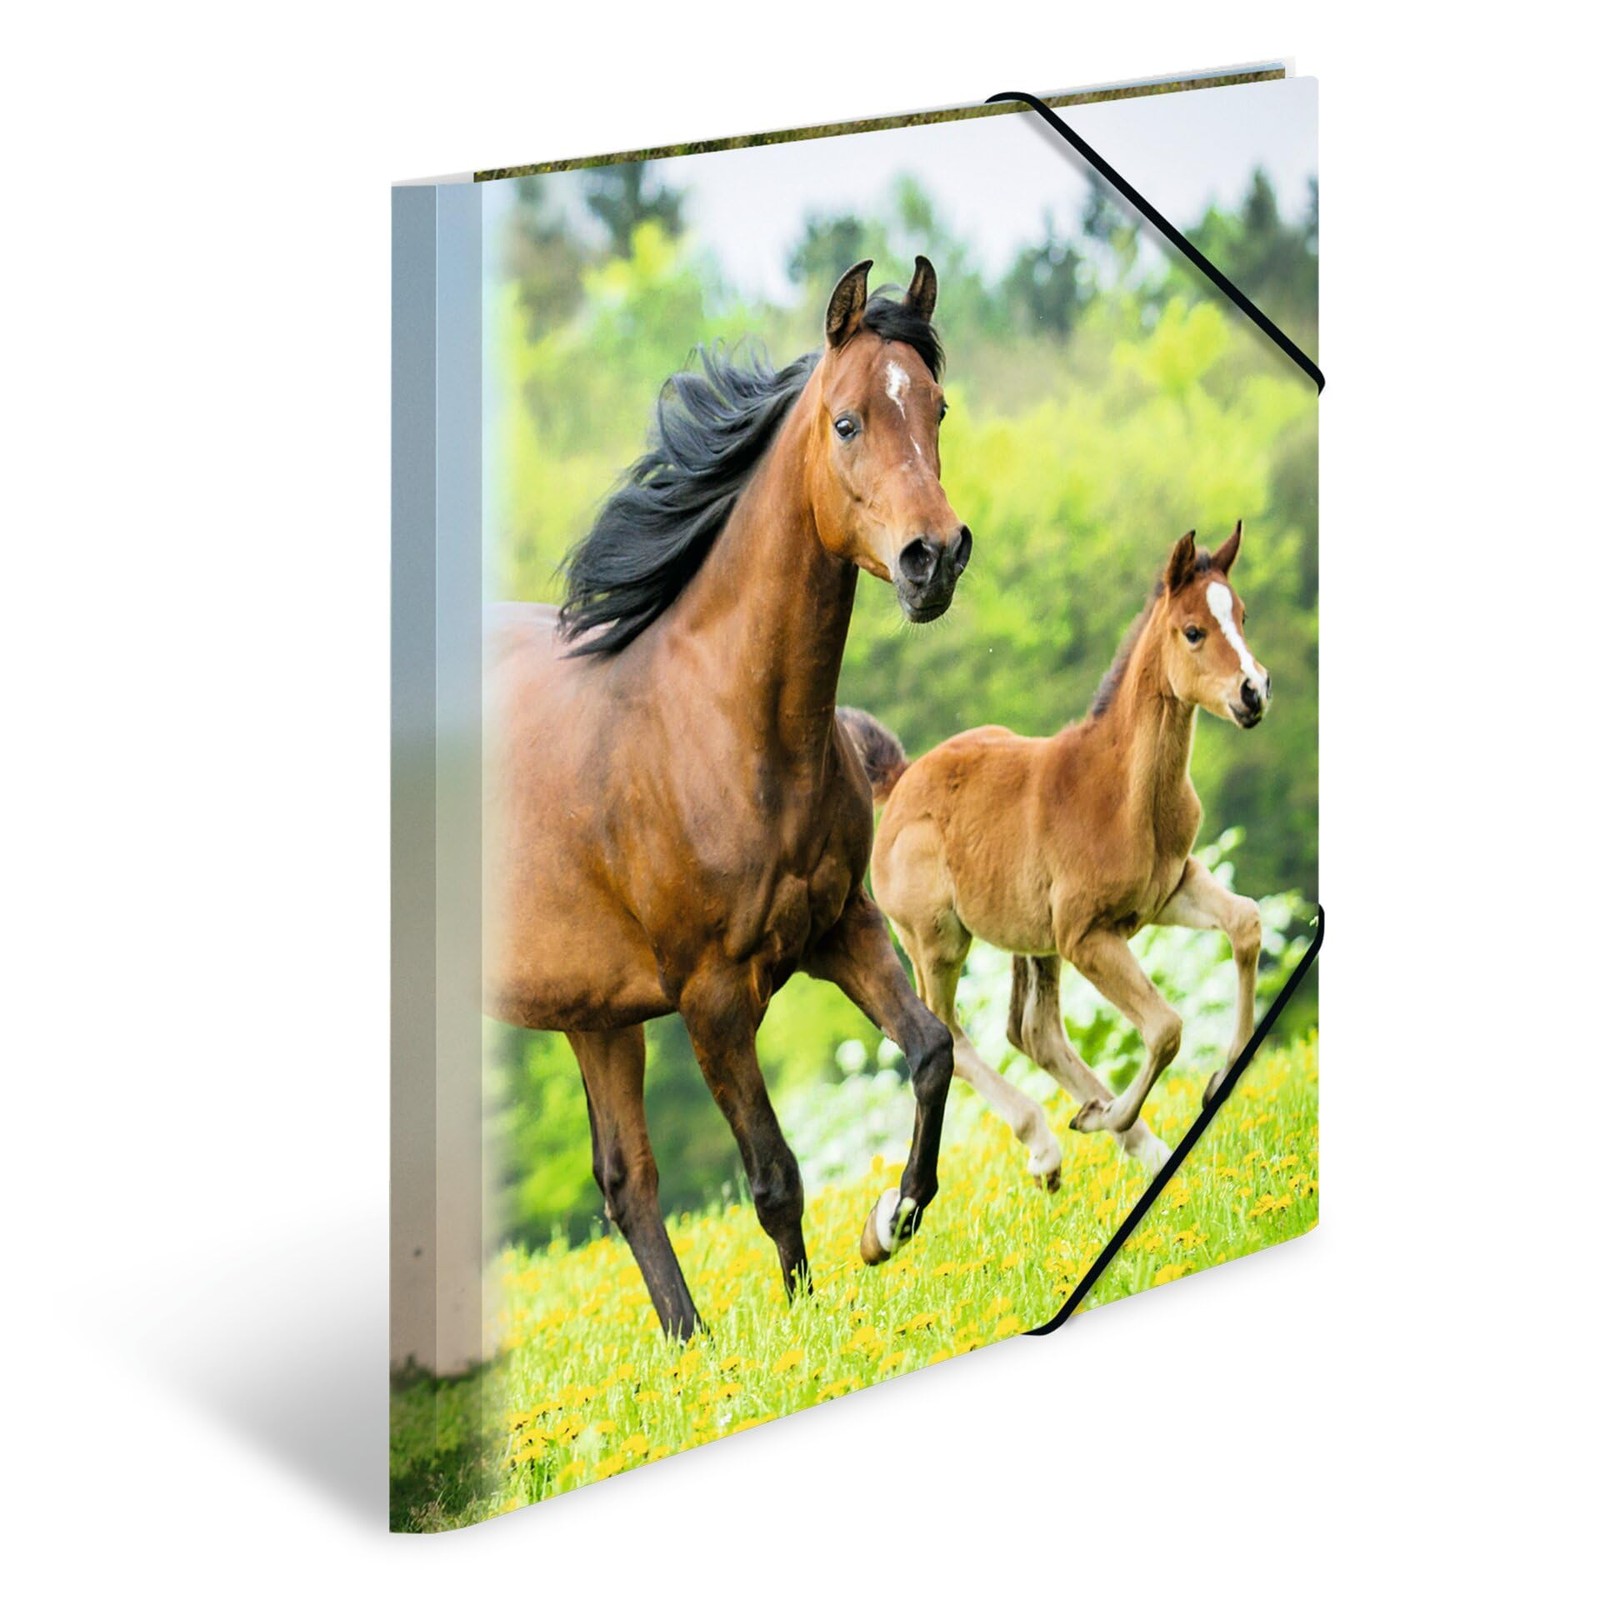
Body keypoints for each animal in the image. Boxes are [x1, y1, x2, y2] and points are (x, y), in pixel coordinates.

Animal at [485, 260, 973, 1338]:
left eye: (936, 407)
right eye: (846, 422)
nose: (934, 558)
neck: (721, 727)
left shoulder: (840, 925)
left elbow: (930, 1050)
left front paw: (891, 1219)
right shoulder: (712, 999)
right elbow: (774, 1175)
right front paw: (803, 1327)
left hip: (593, 1012)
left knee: (626, 1181)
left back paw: (690, 1343)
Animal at [858, 524, 1271, 1188]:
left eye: (1241, 614)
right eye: (1193, 631)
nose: (1253, 692)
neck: (1123, 791)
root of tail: (897, 783)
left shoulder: (1170, 888)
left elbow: (1247, 924)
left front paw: (1216, 1078)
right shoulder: (1086, 935)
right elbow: (1166, 1028)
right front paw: (1108, 1114)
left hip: (1031, 937)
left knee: (1033, 1031)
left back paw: (1137, 1142)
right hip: (937, 941)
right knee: (948, 1033)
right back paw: (1050, 1143)